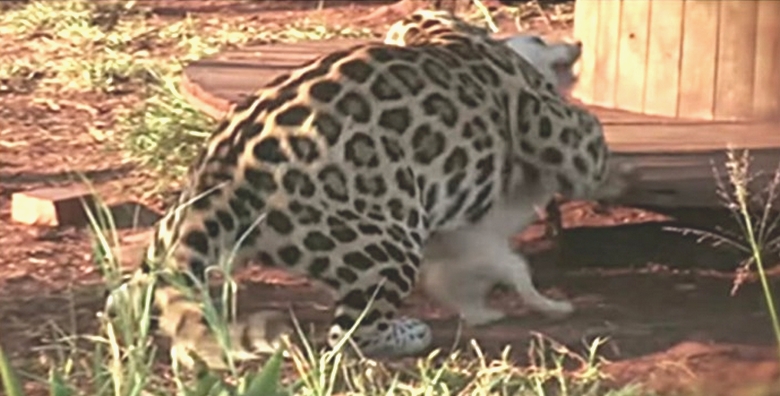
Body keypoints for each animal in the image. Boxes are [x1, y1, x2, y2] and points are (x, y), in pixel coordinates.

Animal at [105, 9, 632, 370]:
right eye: (542, 34)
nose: (578, 43)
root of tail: (217, 183)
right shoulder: (550, 123)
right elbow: (590, 144)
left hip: (165, 246)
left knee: (137, 299)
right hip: (387, 243)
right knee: (349, 334)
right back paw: (412, 331)